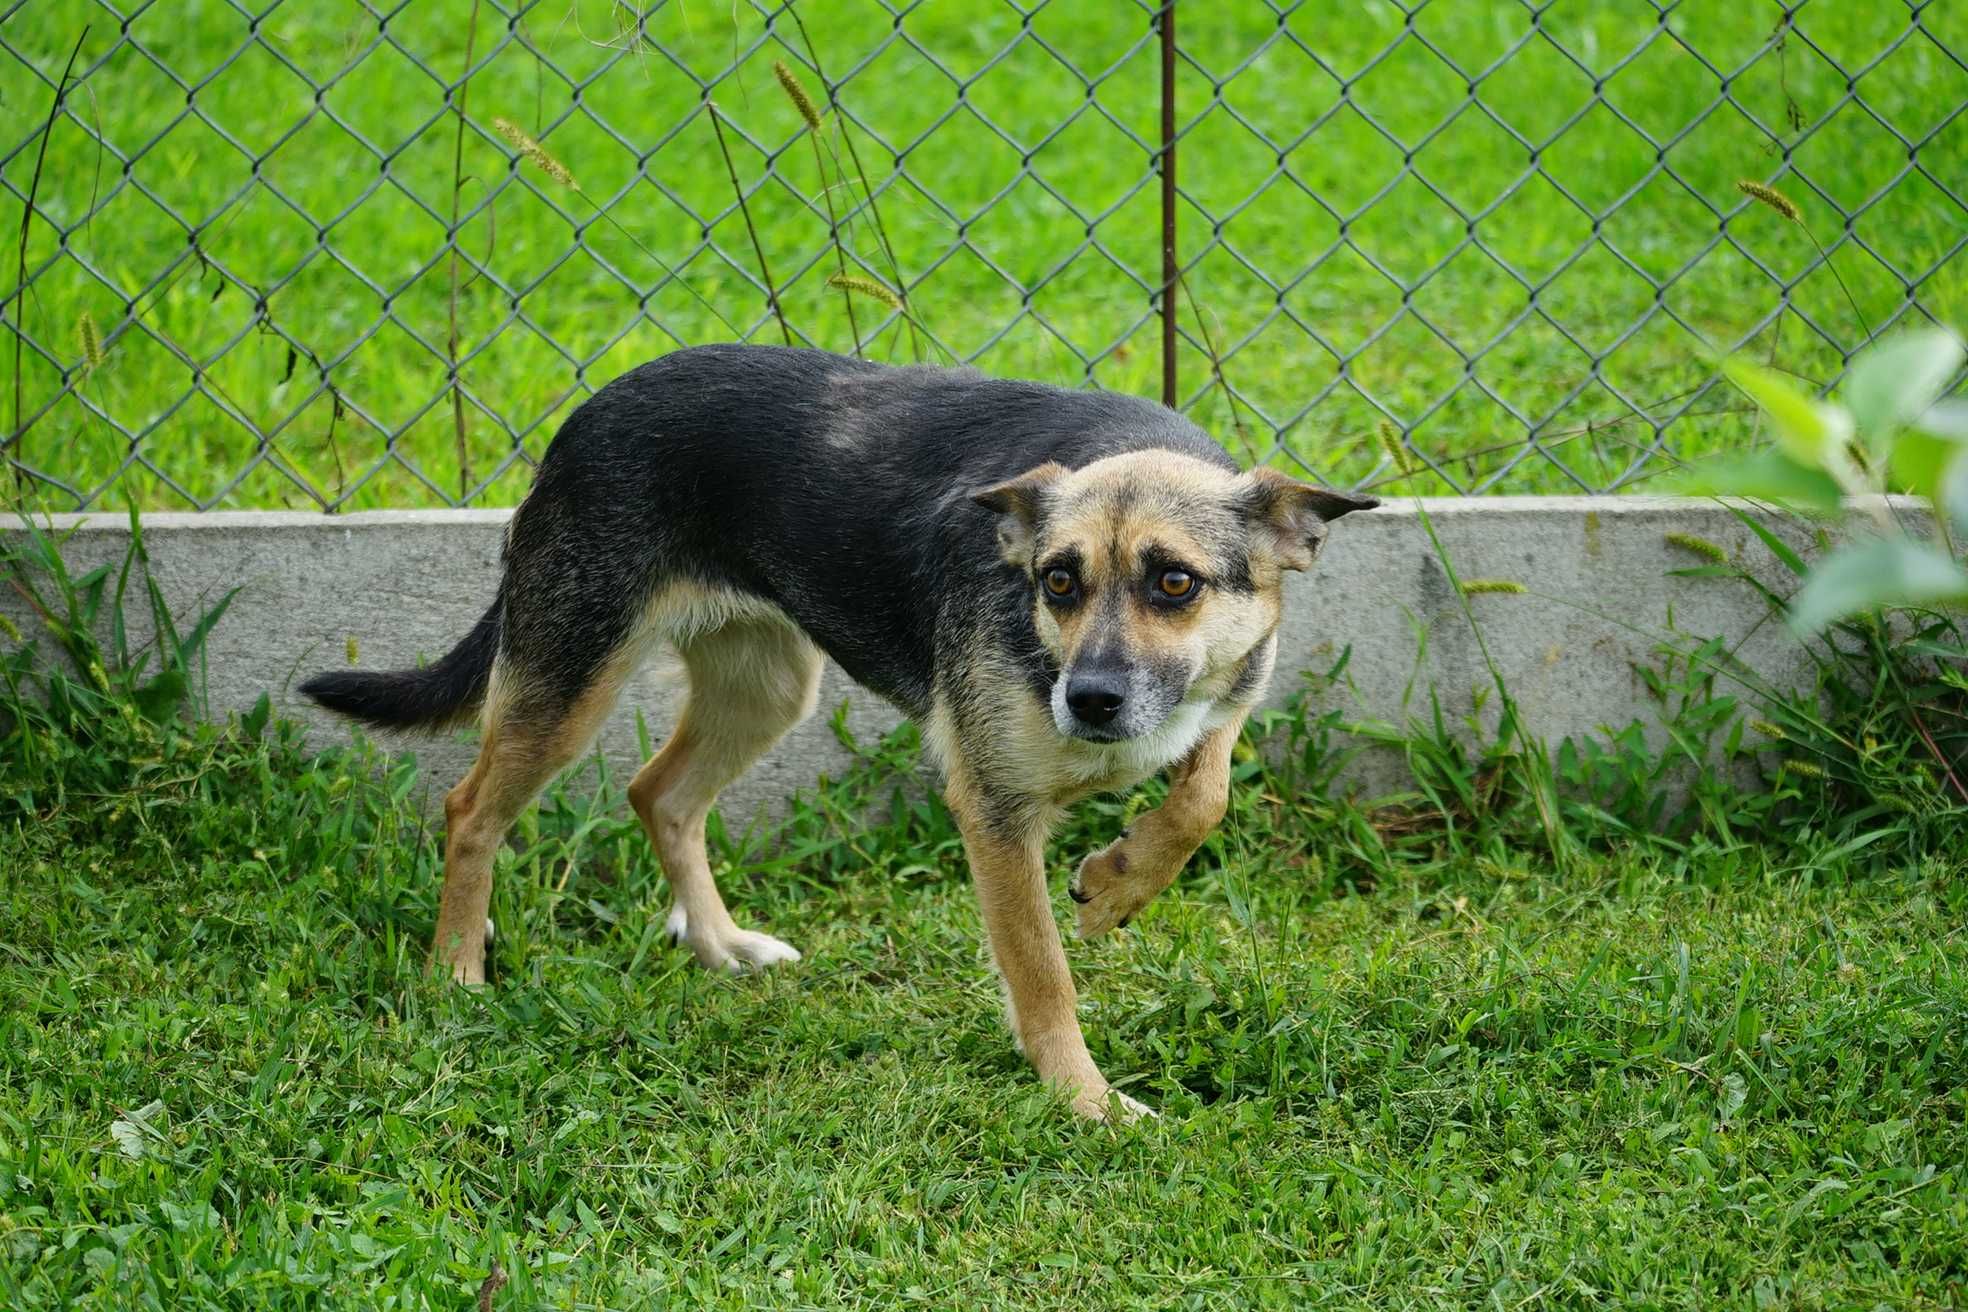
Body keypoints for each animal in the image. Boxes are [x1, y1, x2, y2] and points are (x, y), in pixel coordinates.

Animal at [303, 346, 1369, 1117]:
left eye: (1175, 582)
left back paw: (718, 947)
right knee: (469, 809)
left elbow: (1204, 790)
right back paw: (456, 975)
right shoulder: (993, 810)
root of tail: (584, 416)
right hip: (570, 680)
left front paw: (1118, 885)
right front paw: (1085, 1101)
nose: (1090, 700)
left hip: (768, 688)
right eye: (1058, 580)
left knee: (659, 793)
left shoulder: (1221, 695)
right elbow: (1042, 976)